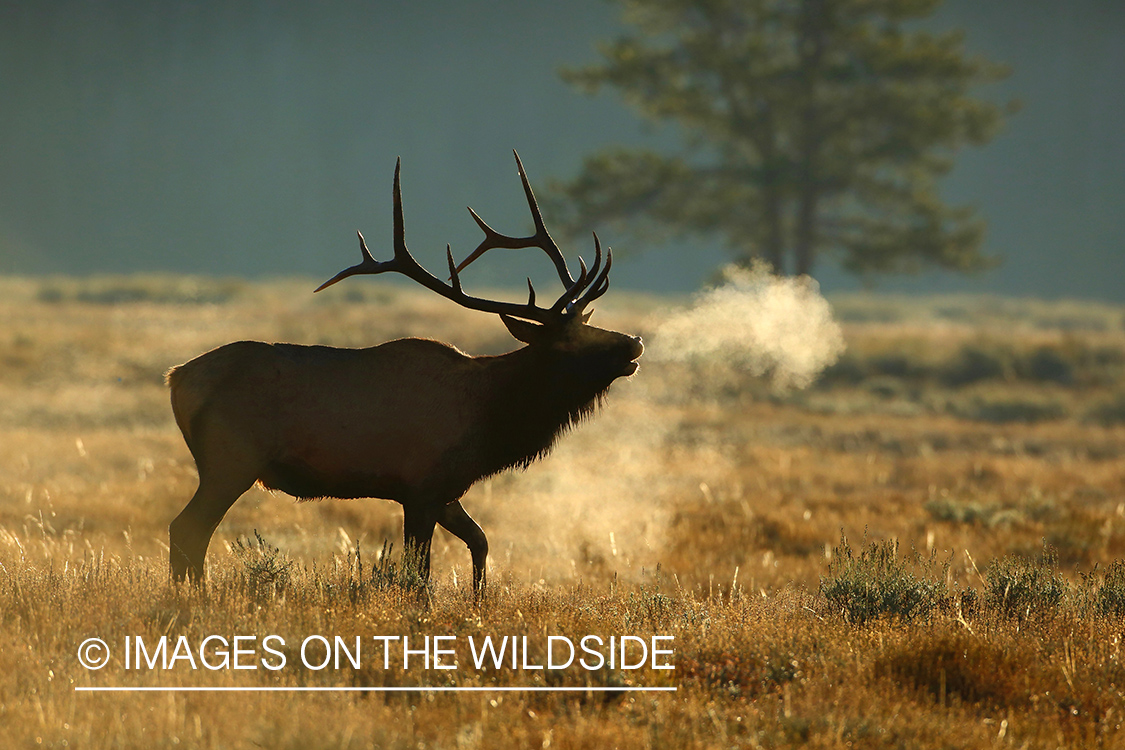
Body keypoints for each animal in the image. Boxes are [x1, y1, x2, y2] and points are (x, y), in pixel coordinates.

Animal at [166, 152, 644, 594]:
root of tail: (177, 378)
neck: (490, 421)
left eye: (588, 323)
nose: (634, 342)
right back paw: (194, 600)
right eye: (570, 339)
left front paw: (479, 602)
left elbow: (481, 541)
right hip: (231, 459)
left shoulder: (446, 490)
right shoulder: (422, 485)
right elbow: (418, 574)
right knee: (186, 528)